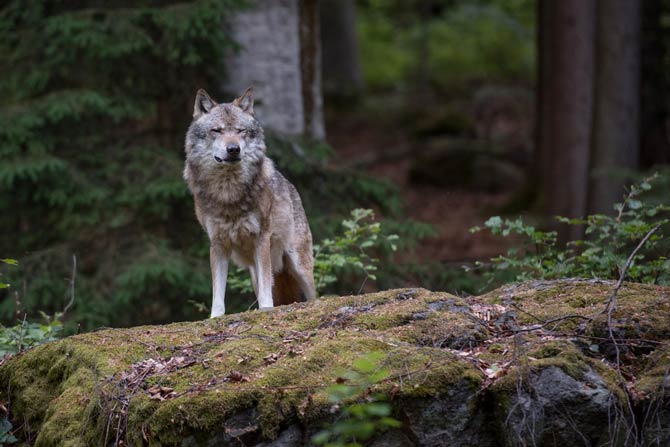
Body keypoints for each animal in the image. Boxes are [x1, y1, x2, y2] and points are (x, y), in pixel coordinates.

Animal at [184, 88, 318, 318]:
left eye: (240, 131)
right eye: (216, 131)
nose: (233, 149)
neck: (228, 191)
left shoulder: (261, 239)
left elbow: (266, 291)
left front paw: (266, 309)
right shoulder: (217, 244)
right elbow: (217, 290)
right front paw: (215, 317)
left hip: (298, 264)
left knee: (314, 295)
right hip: (255, 271)